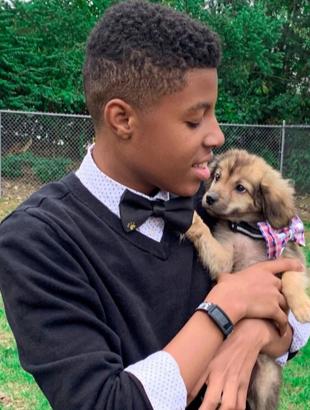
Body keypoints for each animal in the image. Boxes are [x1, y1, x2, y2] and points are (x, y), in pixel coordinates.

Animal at [185, 149, 308, 410]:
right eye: (217, 176)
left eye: (240, 187)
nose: (208, 198)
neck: (248, 230)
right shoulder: (223, 258)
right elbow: (206, 236)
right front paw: (193, 220)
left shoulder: (293, 258)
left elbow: (291, 278)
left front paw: (302, 307)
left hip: (265, 381)